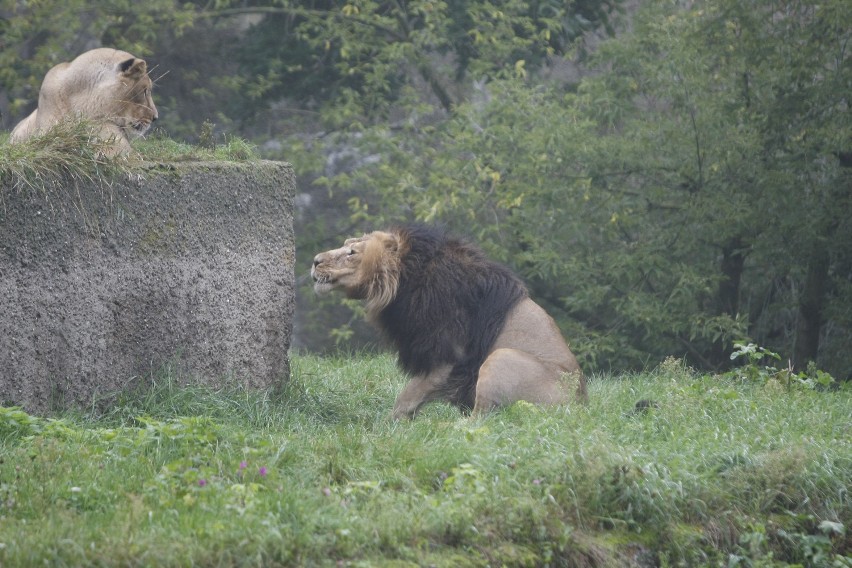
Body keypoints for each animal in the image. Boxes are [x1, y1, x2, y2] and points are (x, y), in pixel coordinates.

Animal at [312, 224, 584, 420]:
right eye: (345, 245)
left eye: (351, 253)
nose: (315, 260)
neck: (404, 280)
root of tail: (581, 405)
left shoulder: (447, 354)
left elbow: (407, 396)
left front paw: (388, 428)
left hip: (501, 358)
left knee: (482, 420)